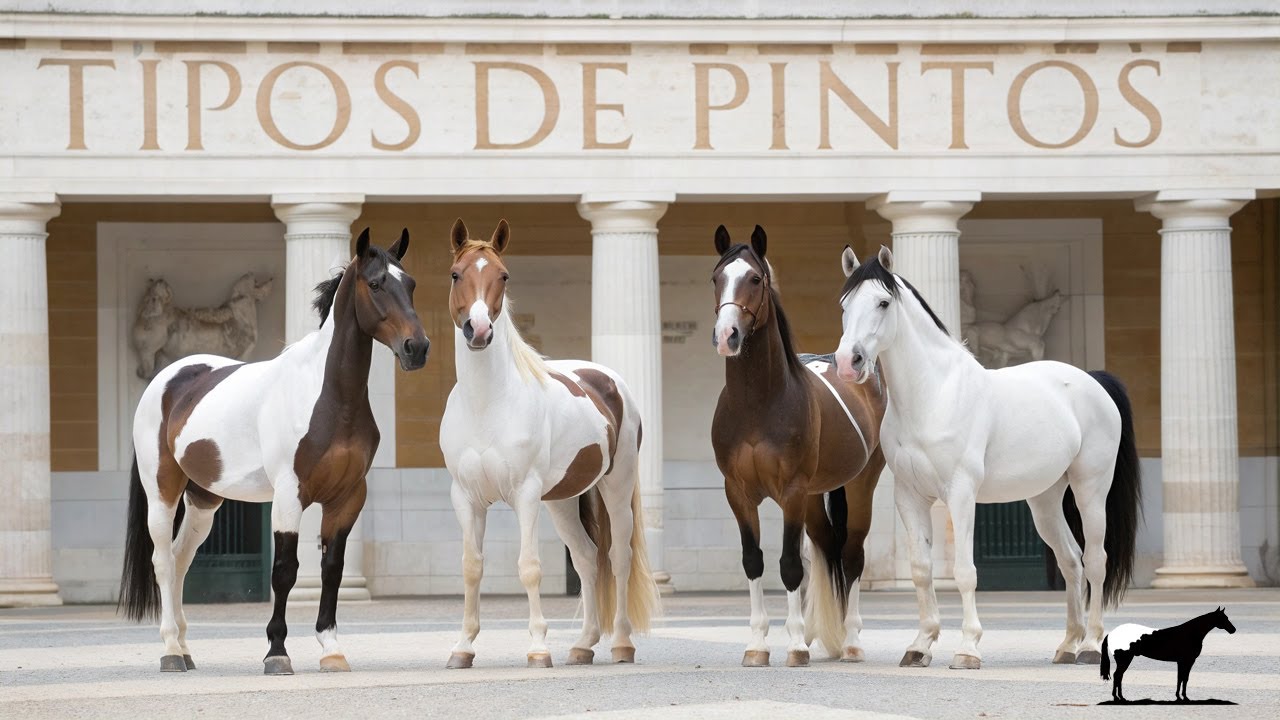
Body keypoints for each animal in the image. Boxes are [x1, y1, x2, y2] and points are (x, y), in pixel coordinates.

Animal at [118, 228, 429, 675]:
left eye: (412, 284)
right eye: (375, 284)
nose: (416, 348)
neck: (329, 397)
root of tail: (167, 378)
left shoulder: (348, 497)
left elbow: (332, 570)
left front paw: (331, 649)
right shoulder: (287, 495)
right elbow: (284, 571)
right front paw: (277, 651)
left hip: (204, 500)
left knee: (180, 560)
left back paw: (186, 648)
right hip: (162, 490)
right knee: (162, 561)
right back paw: (171, 650)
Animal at [439, 218, 660, 670]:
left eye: (503, 275)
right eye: (456, 274)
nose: (479, 330)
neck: (487, 403)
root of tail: (609, 380)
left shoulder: (524, 494)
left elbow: (529, 566)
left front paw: (539, 648)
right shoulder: (466, 497)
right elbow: (472, 567)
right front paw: (463, 647)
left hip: (616, 485)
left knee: (619, 558)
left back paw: (621, 644)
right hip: (562, 501)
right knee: (588, 558)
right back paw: (583, 644)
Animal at [709, 225, 887, 667]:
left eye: (755, 279)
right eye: (716, 278)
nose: (727, 336)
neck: (758, 403)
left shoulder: (790, 491)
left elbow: (790, 565)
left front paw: (793, 647)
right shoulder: (738, 492)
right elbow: (753, 560)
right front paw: (758, 644)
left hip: (859, 485)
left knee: (852, 555)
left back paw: (851, 641)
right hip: (812, 498)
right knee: (824, 547)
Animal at [833, 246, 1141, 670]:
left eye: (882, 302)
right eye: (844, 304)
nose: (850, 363)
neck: (935, 395)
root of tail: (1094, 381)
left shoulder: (961, 494)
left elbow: (964, 571)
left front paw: (967, 649)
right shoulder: (909, 497)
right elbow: (921, 570)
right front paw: (920, 646)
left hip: (1090, 490)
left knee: (1096, 560)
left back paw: (1092, 645)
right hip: (1045, 500)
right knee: (1071, 560)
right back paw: (1067, 644)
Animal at [1102, 607, 1236, 702]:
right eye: (1223, 618)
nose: (1233, 630)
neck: (1190, 633)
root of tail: (1111, 633)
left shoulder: (1182, 662)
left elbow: (1181, 678)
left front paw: (1179, 696)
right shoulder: (1187, 661)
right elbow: (1184, 678)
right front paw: (1184, 697)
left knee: (1119, 676)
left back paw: (1120, 697)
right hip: (1125, 660)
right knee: (1117, 675)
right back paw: (1117, 697)